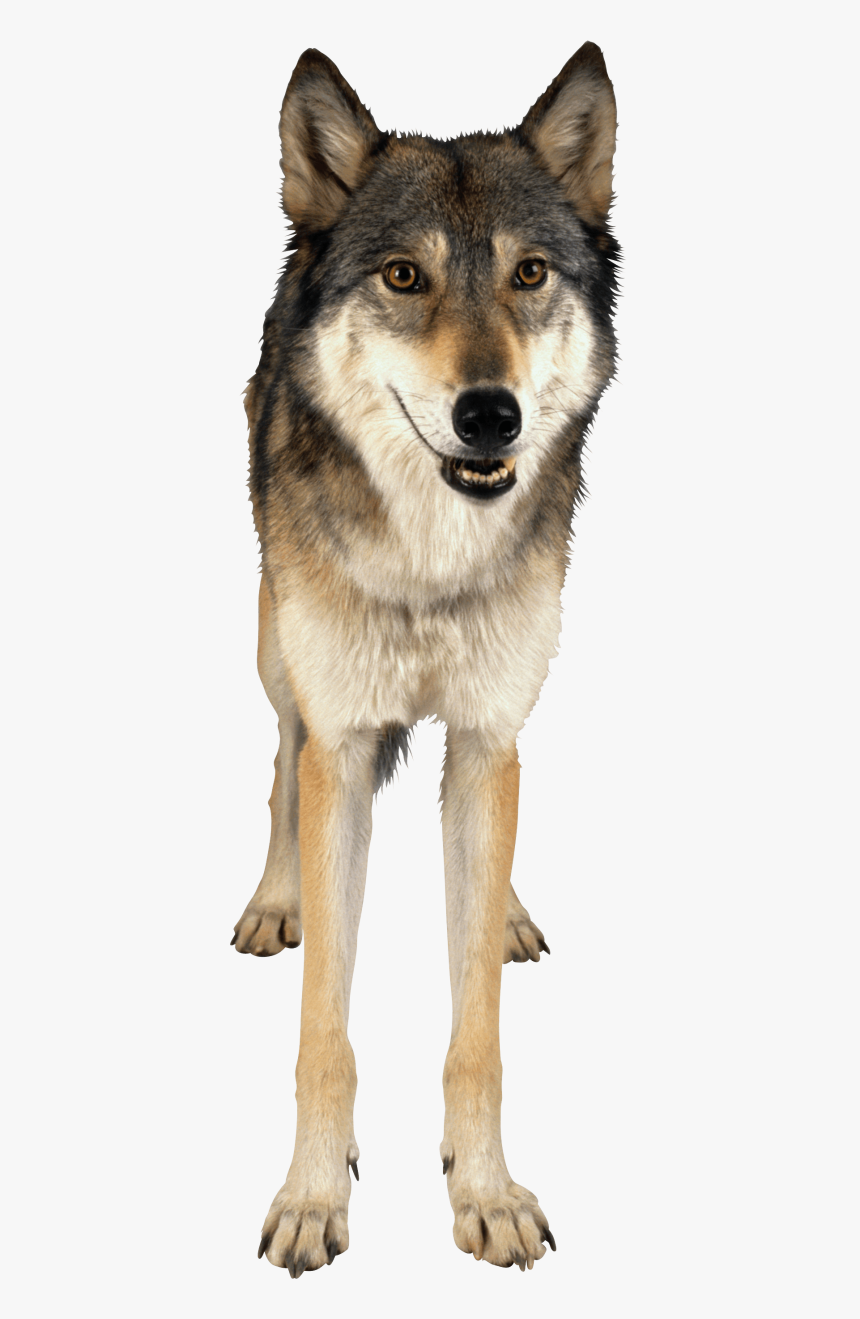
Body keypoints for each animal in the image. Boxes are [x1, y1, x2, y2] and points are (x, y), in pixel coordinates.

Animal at [232, 43, 619, 1275]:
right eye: (405, 277)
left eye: (530, 273)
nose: (489, 414)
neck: (431, 563)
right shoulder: (345, 739)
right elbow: (325, 1029)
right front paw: (312, 1198)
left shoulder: (491, 730)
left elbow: (476, 1030)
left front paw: (484, 1193)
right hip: (277, 651)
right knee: (279, 763)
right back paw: (277, 896)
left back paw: (504, 911)